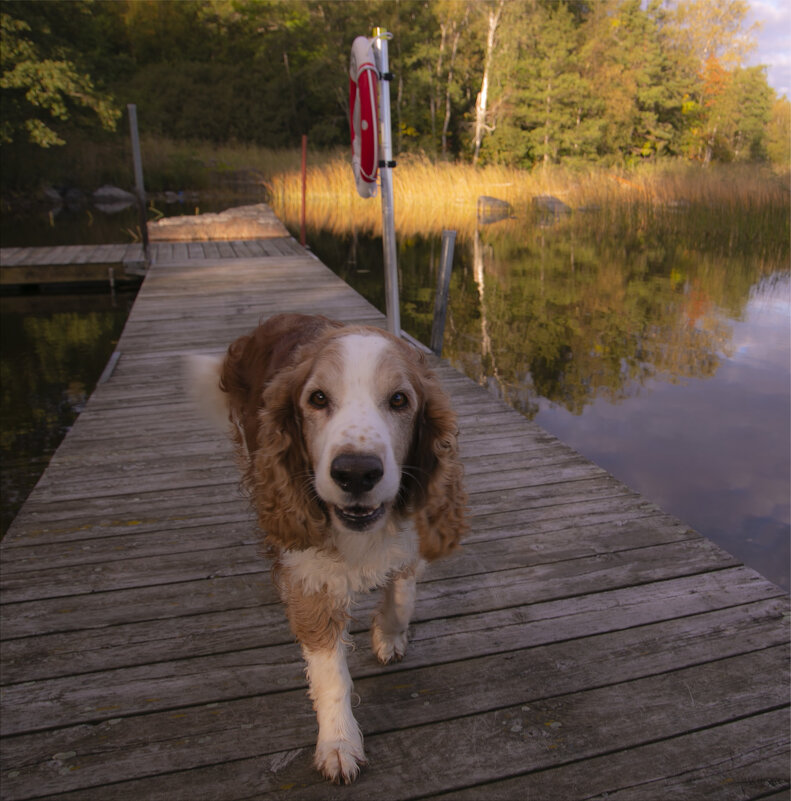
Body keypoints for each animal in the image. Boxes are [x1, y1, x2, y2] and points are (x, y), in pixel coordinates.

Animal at [189, 312, 468, 780]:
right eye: (317, 399)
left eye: (399, 400)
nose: (356, 472)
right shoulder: (310, 578)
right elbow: (330, 672)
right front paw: (339, 743)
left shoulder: (409, 538)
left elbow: (402, 594)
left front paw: (388, 635)